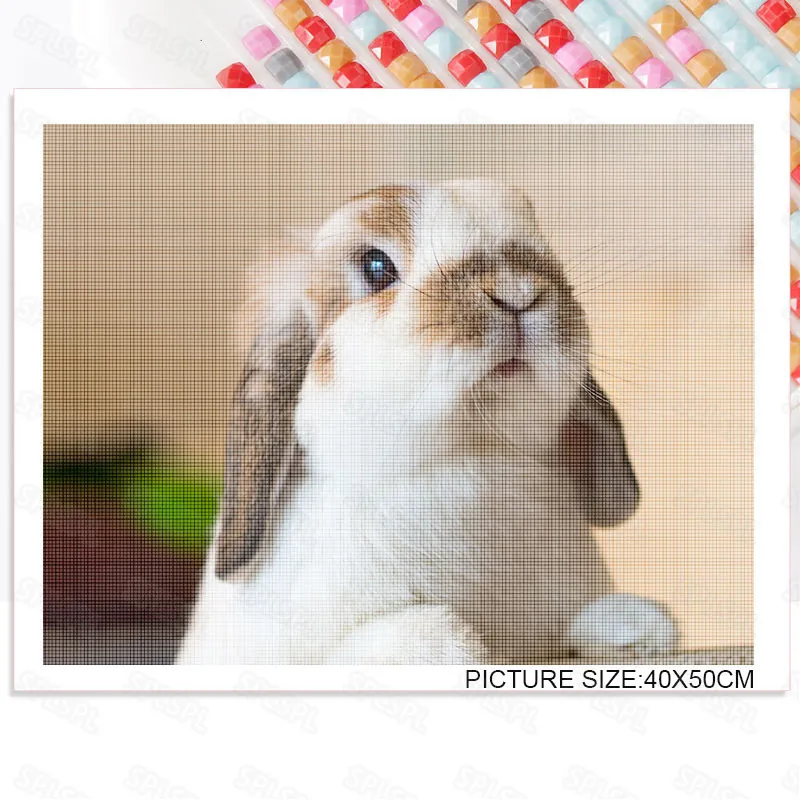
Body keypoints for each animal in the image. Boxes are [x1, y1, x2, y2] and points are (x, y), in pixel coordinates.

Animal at [176, 180, 678, 665]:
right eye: (376, 266)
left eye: (540, 242)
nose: (518, 292)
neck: (473, 453)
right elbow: (394, 642)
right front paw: (466, 649)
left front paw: (641, 629)